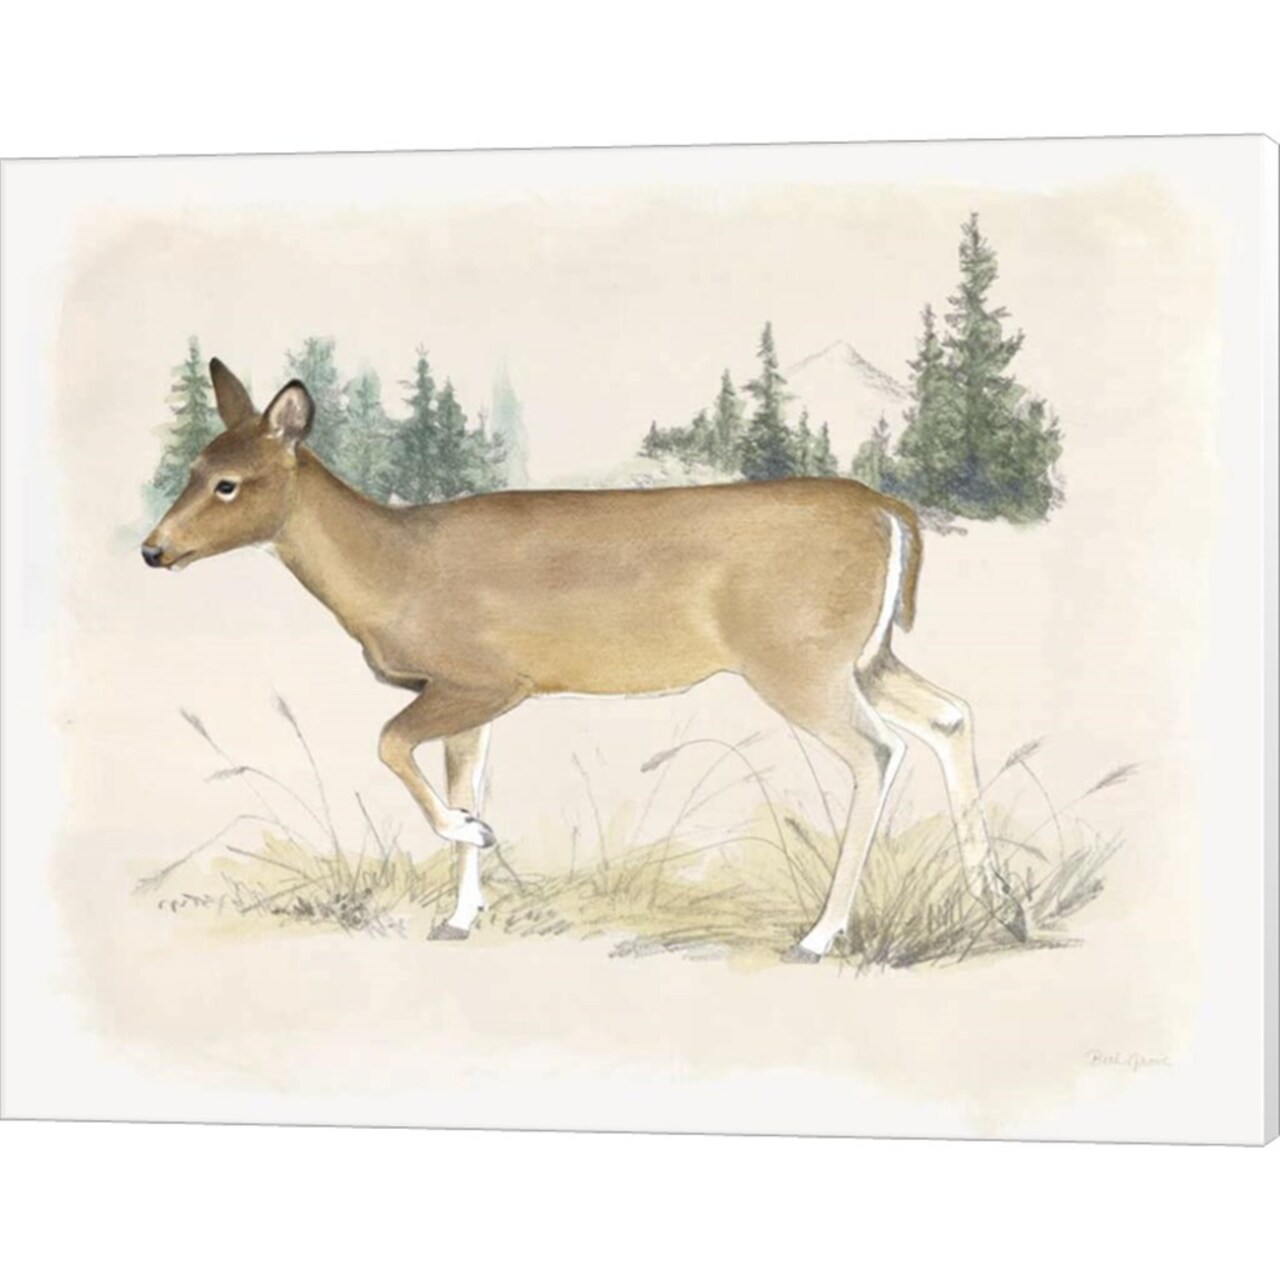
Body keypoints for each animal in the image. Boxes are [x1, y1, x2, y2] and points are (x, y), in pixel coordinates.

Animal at [142, 360, 1024, 962]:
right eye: (191, 469)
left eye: (228, 484)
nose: (153, 550)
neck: (392, 567)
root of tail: (891, 513)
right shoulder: (467, 695)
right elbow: (462, 777)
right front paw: (462, 910)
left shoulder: (487, 677)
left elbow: (391, 745)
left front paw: (470, 835)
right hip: (865, 655)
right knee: (951, 715)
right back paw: (994, 902)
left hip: (798, 660)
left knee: (879, 751)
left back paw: (821, 934)